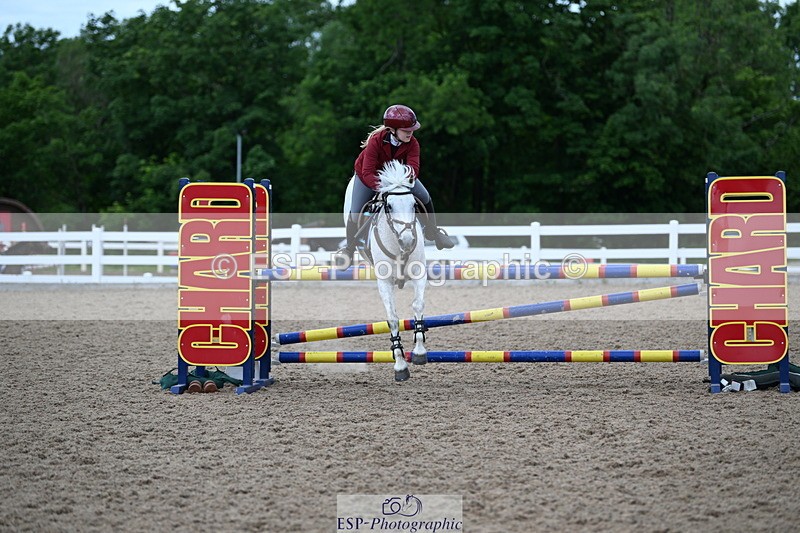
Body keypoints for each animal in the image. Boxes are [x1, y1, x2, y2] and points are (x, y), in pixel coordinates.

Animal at [343, 160, 428, 381]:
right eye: (389, 206)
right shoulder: (384, 282)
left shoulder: (419, 274)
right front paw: (400, 366)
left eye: (413, 205)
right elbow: (393, 319)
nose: (407, 241)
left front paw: (419, 352)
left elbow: (417, 305)